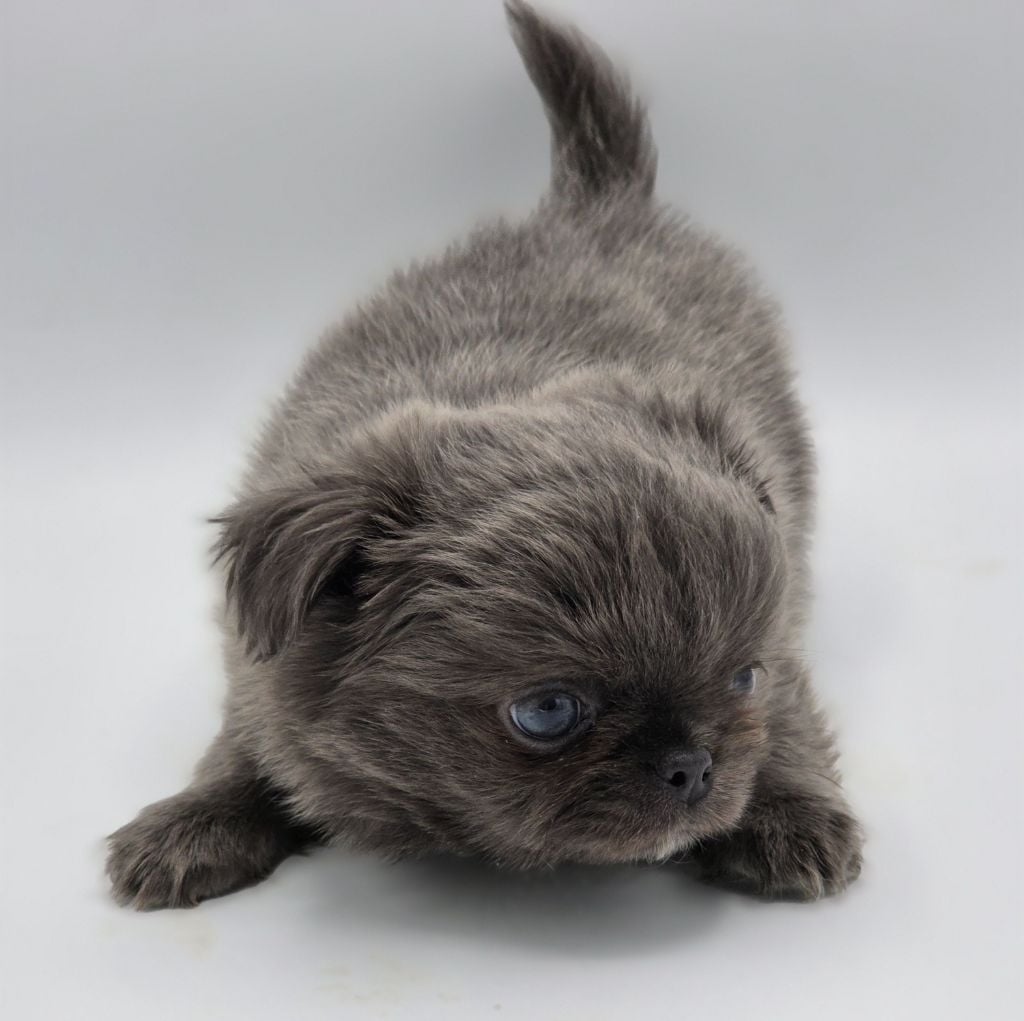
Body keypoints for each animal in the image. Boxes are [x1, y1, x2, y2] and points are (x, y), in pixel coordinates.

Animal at [107, 0, 863, 909]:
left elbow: (792, 717)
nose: (694, 766)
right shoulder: (260, 668)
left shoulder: (781, 644)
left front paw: (789, 809)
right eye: (547, 711)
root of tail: (596, 206)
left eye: (742, 678)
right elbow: (242, 743)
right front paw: (195, 819)